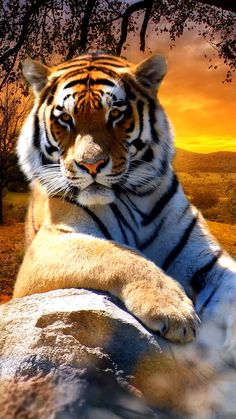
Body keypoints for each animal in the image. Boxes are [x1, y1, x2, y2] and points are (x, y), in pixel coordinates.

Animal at [14, 51, 236, 348]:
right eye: (65, 119)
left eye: (116, 115)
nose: (91, 164)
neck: (136, 197)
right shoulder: (48, 245)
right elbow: (116, 254)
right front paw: (174, 310)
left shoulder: (207, 260)